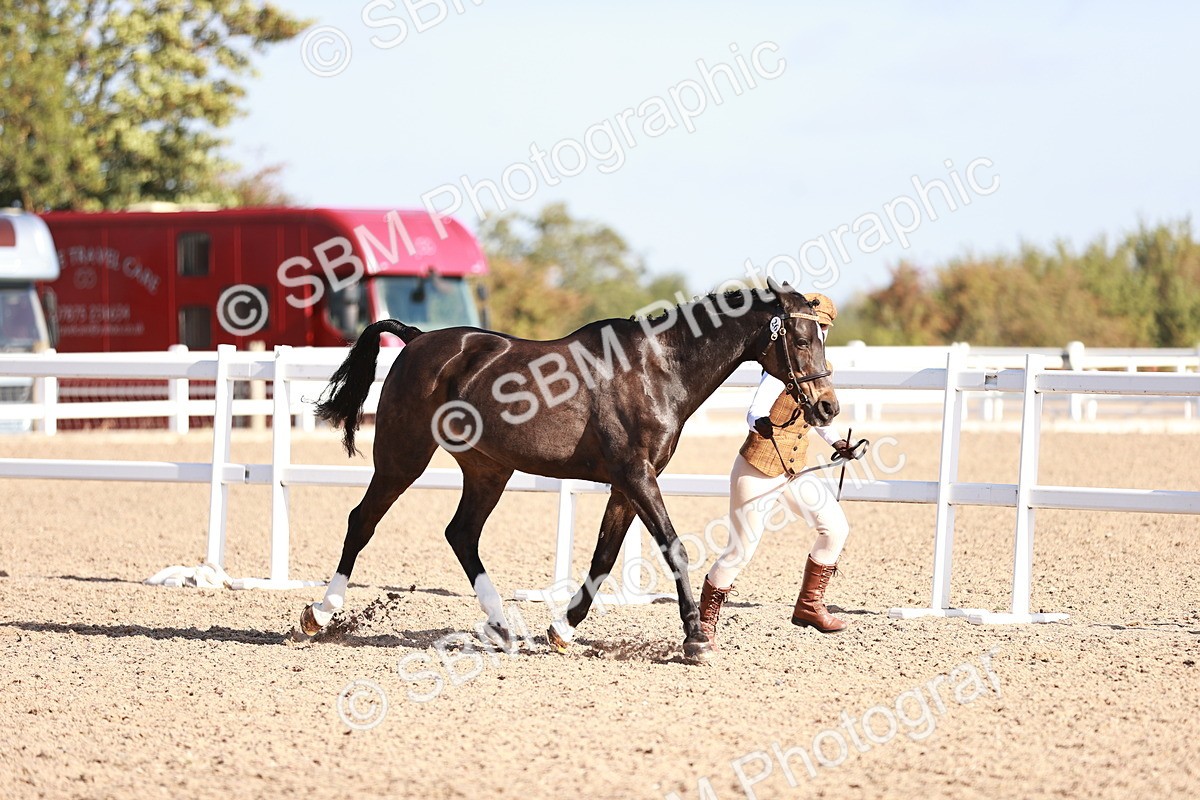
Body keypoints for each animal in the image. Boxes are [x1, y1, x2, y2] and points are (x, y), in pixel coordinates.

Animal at [299, 279, 838, 662]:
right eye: (800, 338)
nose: (828, 407)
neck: (658, 370)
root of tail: (416, 340)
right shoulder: (637, 477)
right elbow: (674, 548)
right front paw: (695, 639)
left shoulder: (626, 485)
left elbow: (604, 556)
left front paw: (561, 629)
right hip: (403, 456)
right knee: (363, 522)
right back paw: (318, 615)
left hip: (488, 470)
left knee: (461, 534)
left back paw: (503, 629)